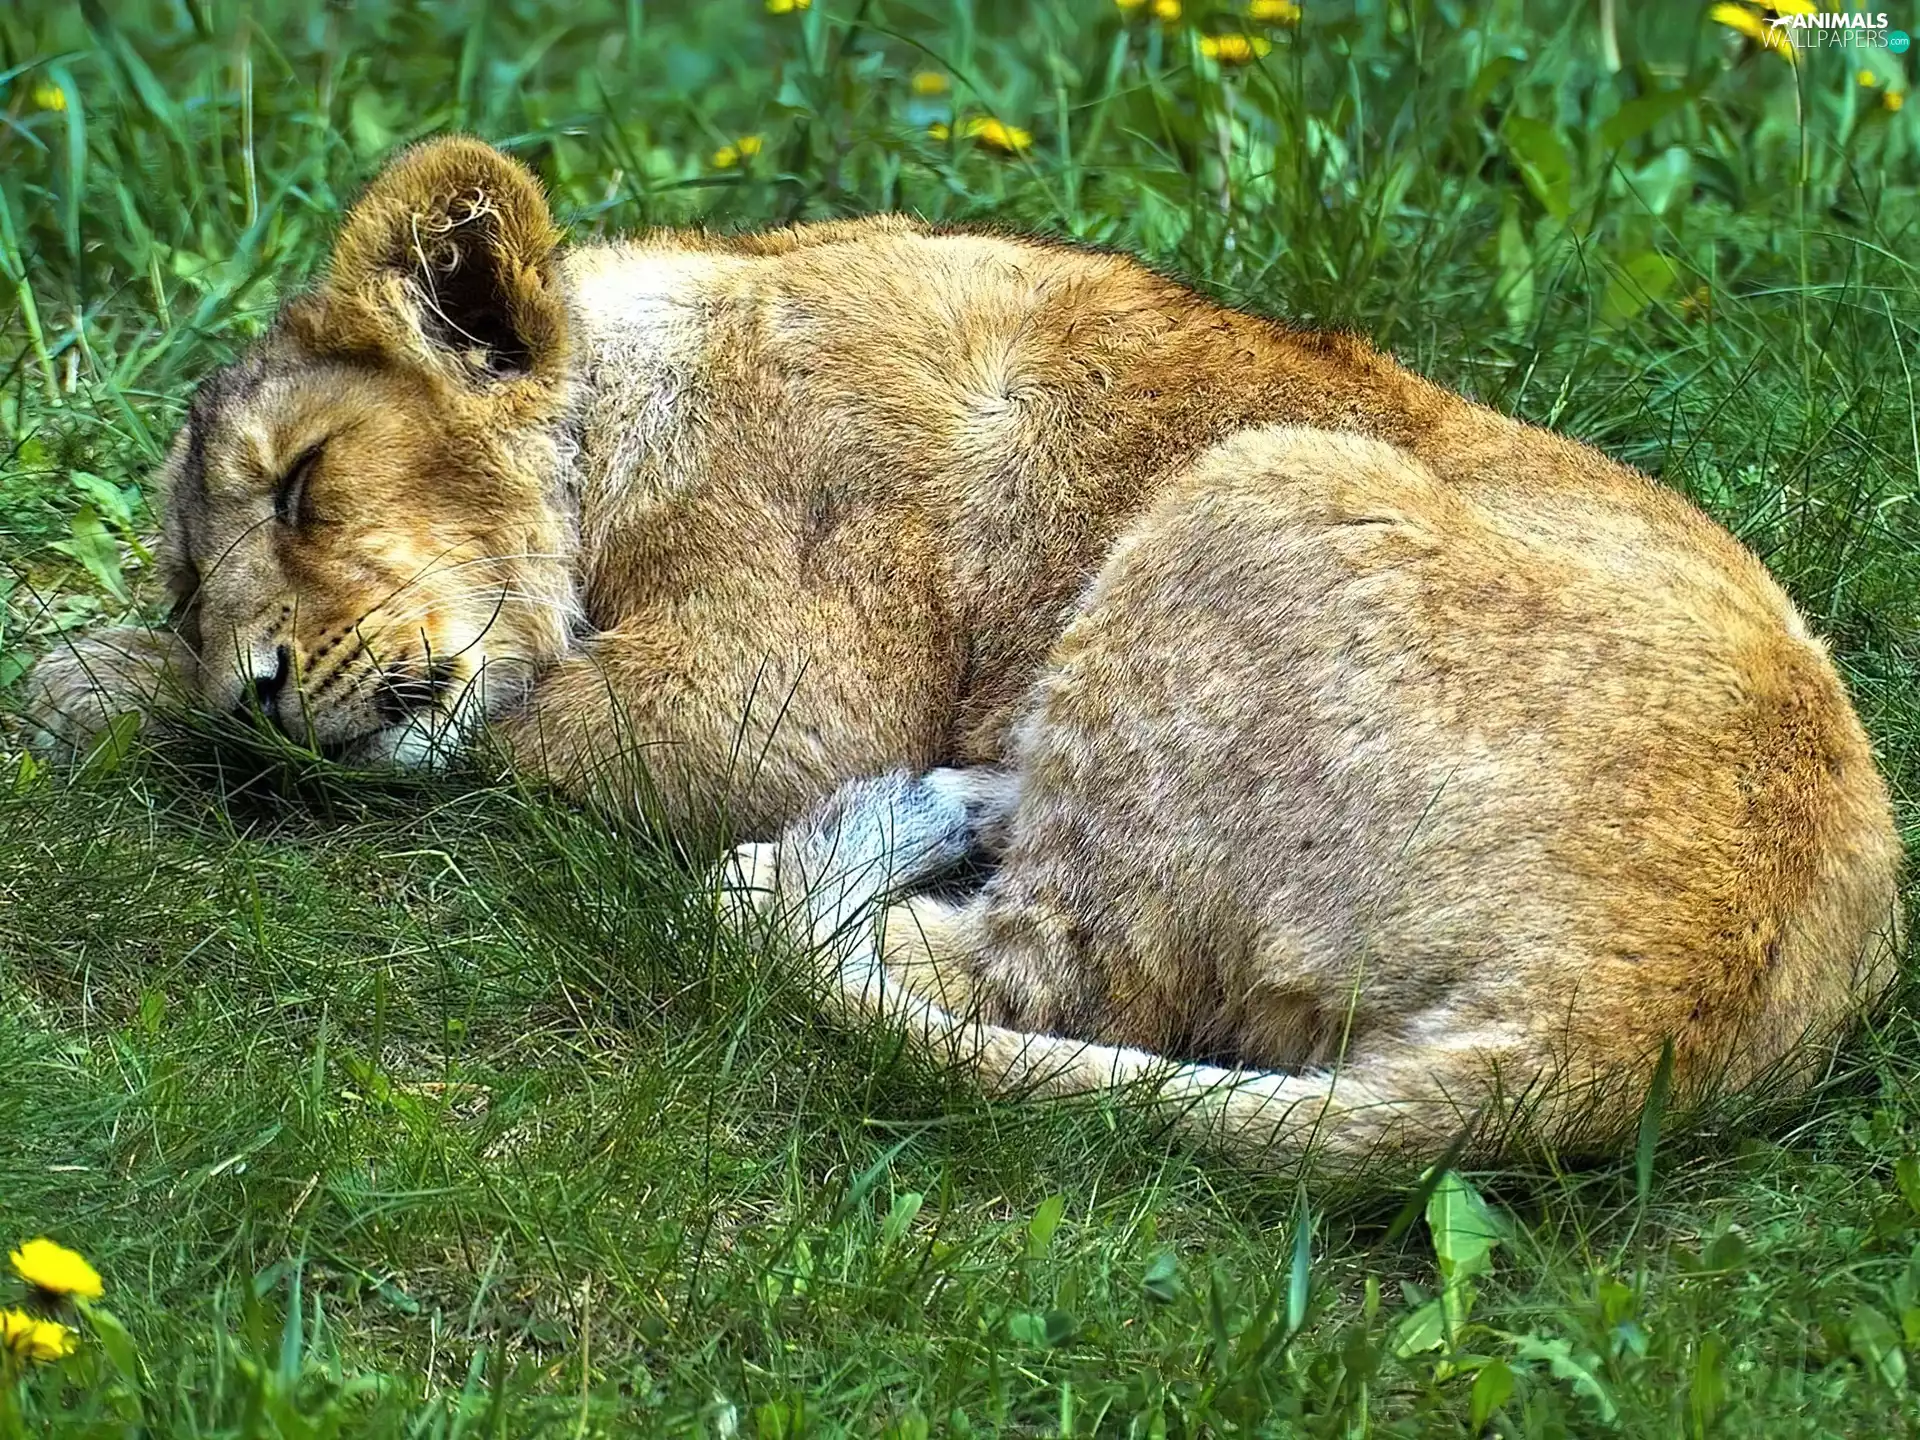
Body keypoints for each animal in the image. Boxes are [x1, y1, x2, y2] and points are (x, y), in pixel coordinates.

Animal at [17, 136, 1904, 1168]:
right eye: (192, 587)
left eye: (309, 487)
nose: (256, 688)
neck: (638, 398)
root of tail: (1653, 1015)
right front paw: (110, 680)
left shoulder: (769, 699)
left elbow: (505, 731)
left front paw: (98, 696)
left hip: (1259, 488)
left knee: (1000, 971)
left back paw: (875, 845)